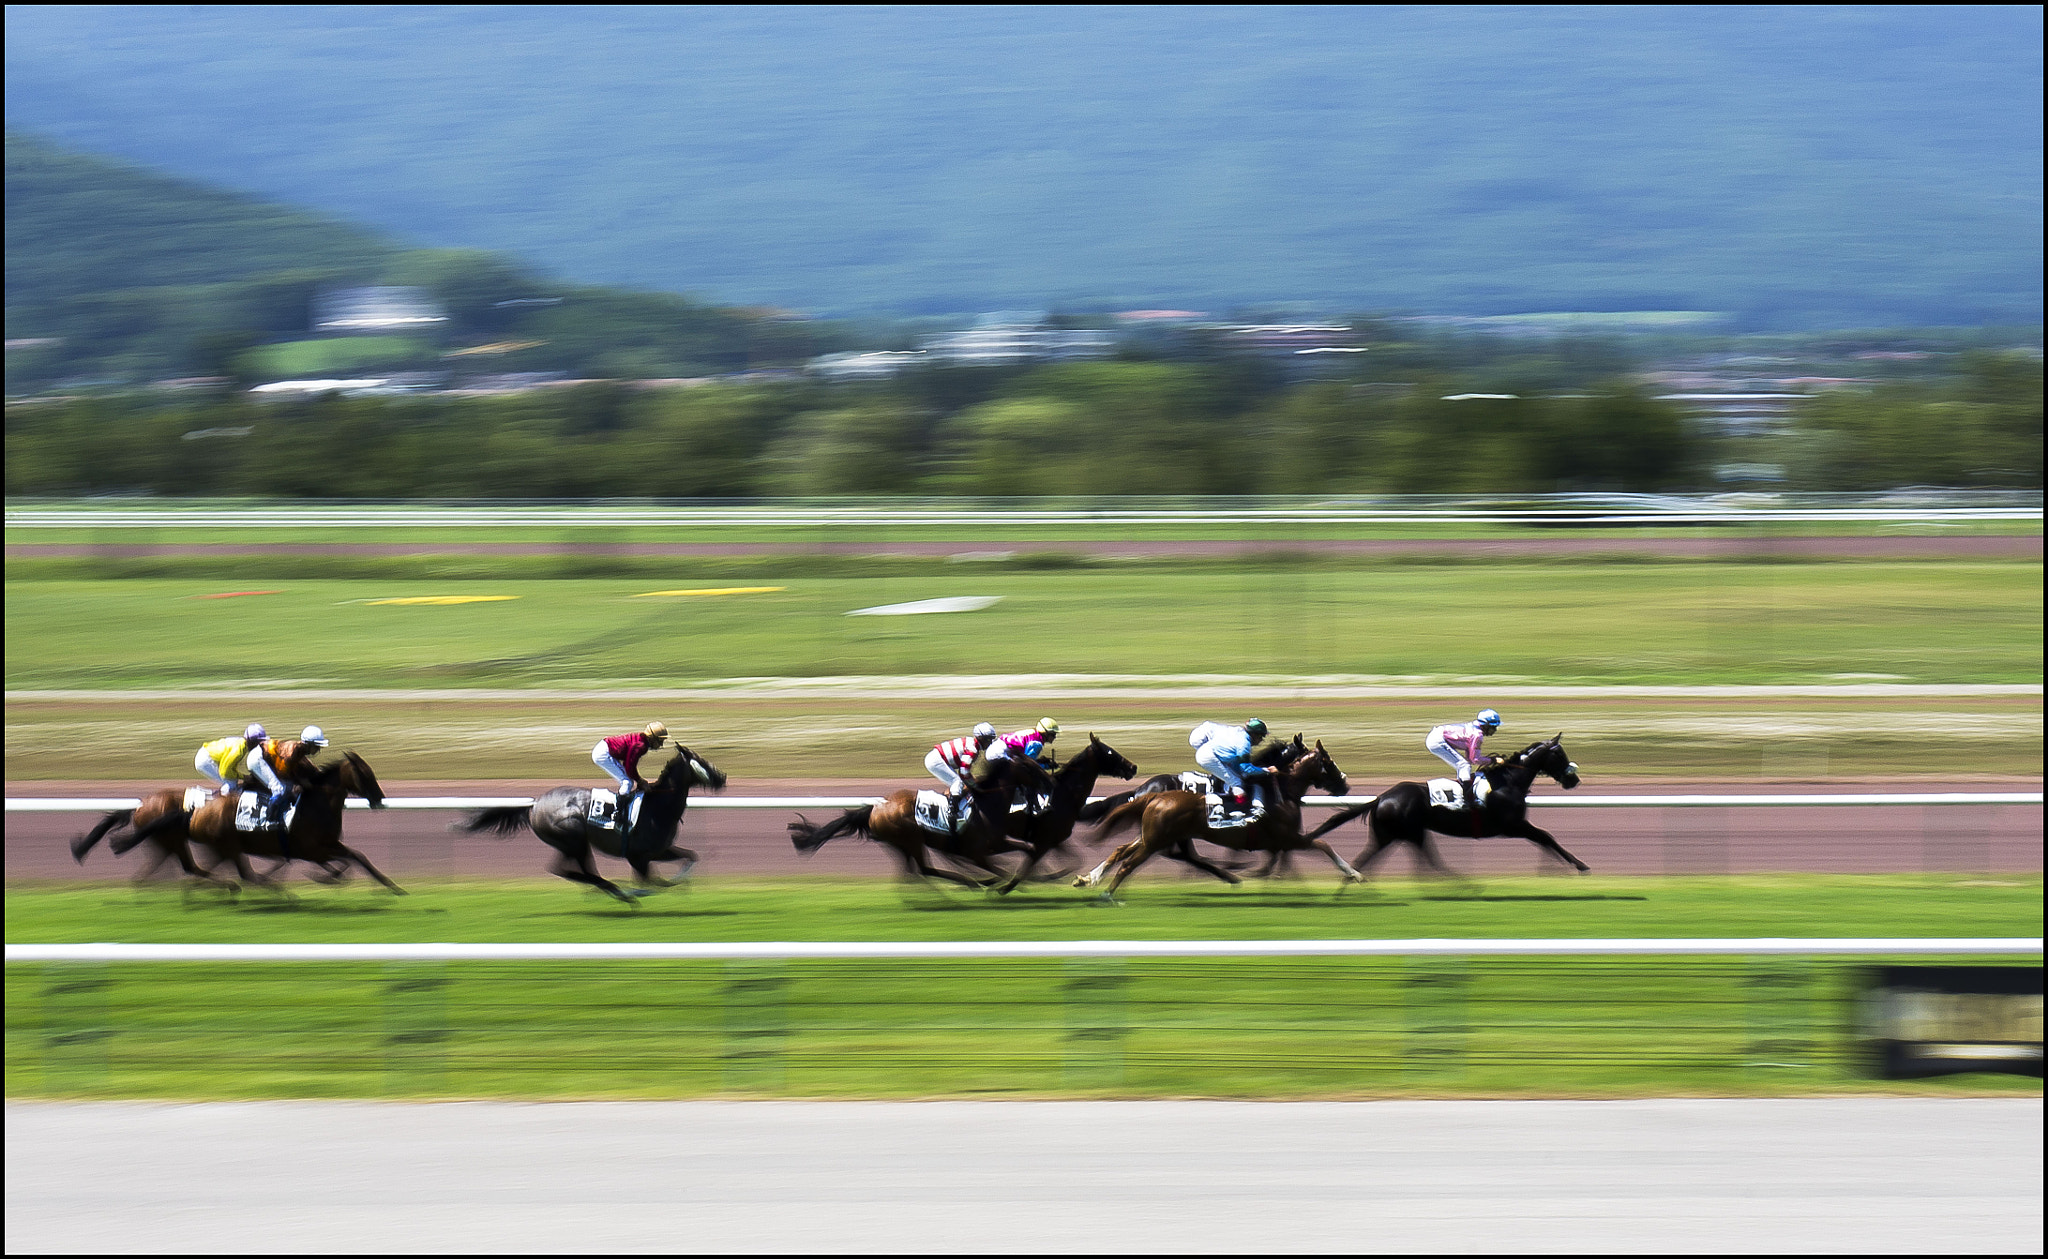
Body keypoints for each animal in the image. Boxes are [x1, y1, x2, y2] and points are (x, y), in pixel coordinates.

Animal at [456, 745, 729, 900]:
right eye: (701, 761)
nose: (722, 777)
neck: (658, 808)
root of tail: (534, 805)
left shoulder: (659, 851)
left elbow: (690, 857)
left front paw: (681, 883)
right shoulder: (638, 857)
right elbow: (650, 882)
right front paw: (642, 890)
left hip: (572, 844)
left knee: (572, 870)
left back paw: (611, 891)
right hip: (572, 838)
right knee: (575, 871)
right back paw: (618, 892)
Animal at [1302, 736, 1589, 876]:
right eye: (1559, 754)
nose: (1573, 779)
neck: (1508, 781)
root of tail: (1382, 797)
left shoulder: (1516, 826)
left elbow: (1544, 839)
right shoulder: (1512, 825)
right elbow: (1546, 837)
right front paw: (1579, 865)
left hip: (1398, 834)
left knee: (1379, 858)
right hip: (1402, 833)